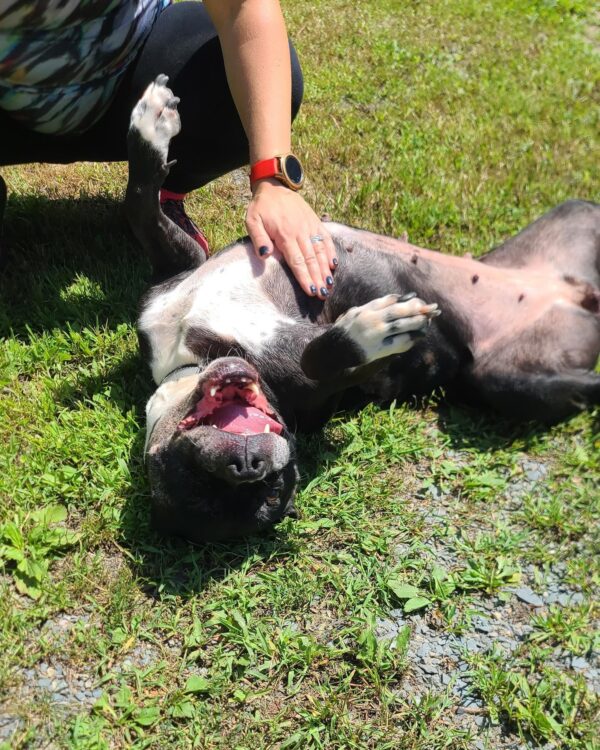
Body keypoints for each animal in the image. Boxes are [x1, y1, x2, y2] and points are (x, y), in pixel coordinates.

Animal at [124, 76, 596, 544]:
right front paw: (370, 332)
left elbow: (142, 204)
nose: (247, 465)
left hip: (577, 213)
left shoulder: (178, 270)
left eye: (272, 485)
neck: (191, 356)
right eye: (199, 485)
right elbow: (321, 359)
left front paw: (151, 125)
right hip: (501, 379)